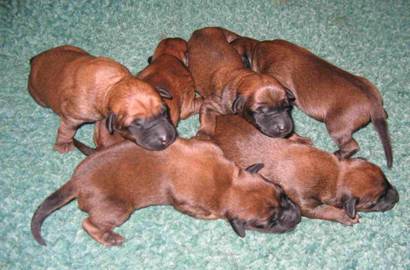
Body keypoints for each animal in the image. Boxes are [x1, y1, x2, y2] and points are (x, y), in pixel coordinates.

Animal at [28, 45, 176, 153]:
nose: (167, 138)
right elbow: (66, 130)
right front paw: (63, 144)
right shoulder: (72, 117)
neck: (112, 85)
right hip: (37, 95)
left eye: (164, 111)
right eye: (136, 124)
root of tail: (35, 59)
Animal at [31, 138, 302, 246]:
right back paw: (109, 238)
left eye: (281, 192)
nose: (297, 217)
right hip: (118, 209)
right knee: (89, 224)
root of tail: (75, 181)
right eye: (267, 224)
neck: (226, 185)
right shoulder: (190, 203)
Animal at [210, 115, 398, 225]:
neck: (335, 174)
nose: (397, 197)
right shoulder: (306, 205)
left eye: (386, 180)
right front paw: (345, 216)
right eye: (373, 203)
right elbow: (327, 211)